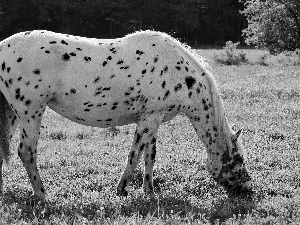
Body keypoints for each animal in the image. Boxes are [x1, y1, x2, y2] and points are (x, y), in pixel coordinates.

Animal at [0, 30, 252, 199]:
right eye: (238, 160)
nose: (248, 190)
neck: (181, 75)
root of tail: (3, 46)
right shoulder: (149, 119)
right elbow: (134, 155)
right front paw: (122, 189)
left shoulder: (153, 118)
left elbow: (150, 156)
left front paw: (149, 192)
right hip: (30, 113)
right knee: (27, 152)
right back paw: (42, 194)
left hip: (13, 114)